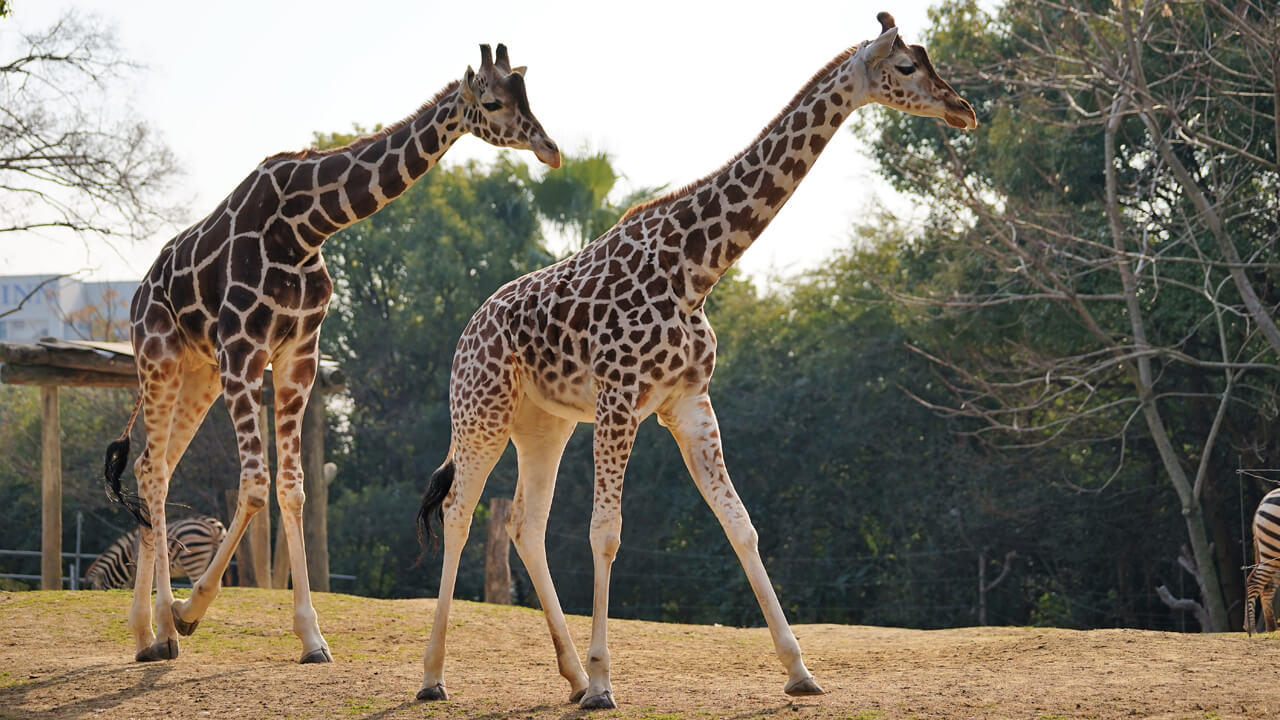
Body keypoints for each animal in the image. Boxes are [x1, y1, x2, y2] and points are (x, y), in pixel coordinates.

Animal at [414, 12, 972, 712]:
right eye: (905, 67)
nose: (963, 109)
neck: (696, 269)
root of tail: (466, 333)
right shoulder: (620, 400)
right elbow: (606, 532)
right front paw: (605, 683)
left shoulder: (688, 402)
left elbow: (742, 525)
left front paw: (799, 670)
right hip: (481, 413)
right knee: (459, 513)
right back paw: (435, 677)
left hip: (545, 425)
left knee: (523, 524)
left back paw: (568, 676)